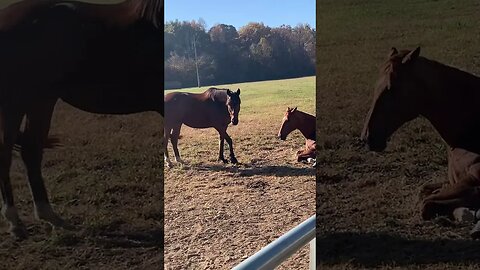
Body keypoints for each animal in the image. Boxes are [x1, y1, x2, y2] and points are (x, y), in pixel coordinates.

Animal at [0, 1, 163, 239]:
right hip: (17, 102)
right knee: (7, 154)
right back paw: (15, 222)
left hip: (40, 100)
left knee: (30, 150)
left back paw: (51, 218)